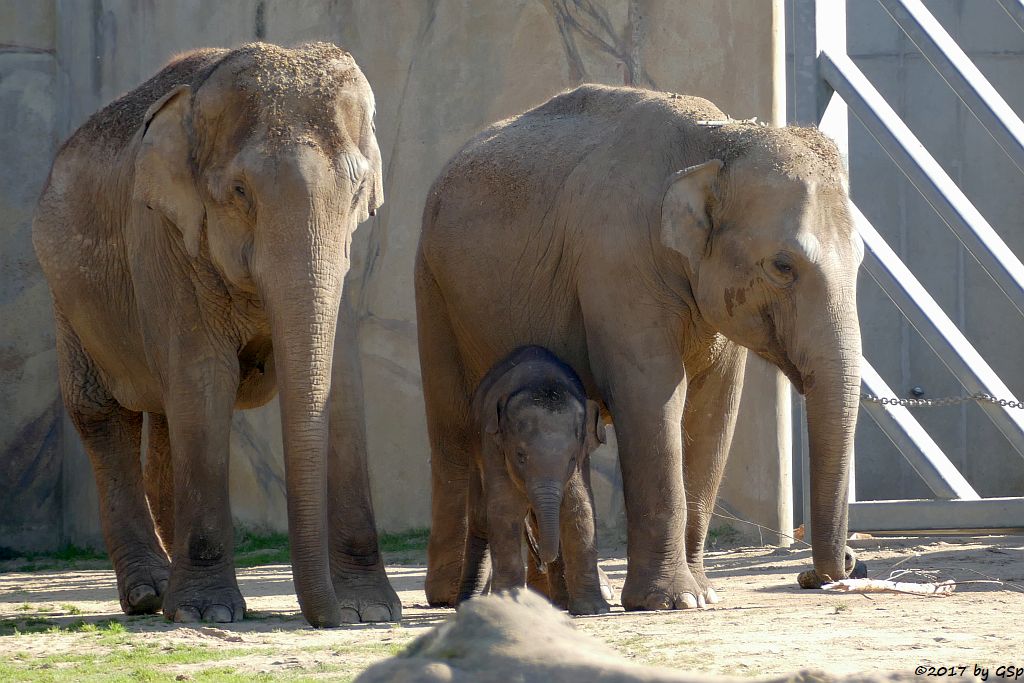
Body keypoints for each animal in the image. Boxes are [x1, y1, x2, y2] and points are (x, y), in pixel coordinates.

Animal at [32, 42, 399, 626]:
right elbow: (205, 378)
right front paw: (206, 614)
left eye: (357, 188)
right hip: (65, 293)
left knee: (165, 414)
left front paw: (371, 612)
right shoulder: (163, 237)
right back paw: (150, 597)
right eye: (240, 192)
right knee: (104, 413)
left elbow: (339, 384)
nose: (328, 616)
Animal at [456, 344, 606, 618]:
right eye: (520, 456)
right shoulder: (494, 447)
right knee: (481, 519)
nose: (543, 562)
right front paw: (510, 606)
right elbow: (505, 510)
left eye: (571, 458)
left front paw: (593, 610)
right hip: (475, 447)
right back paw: (468, 603)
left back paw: (561, 604)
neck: (542, 377)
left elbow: (578, 509)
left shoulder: (581, 462)